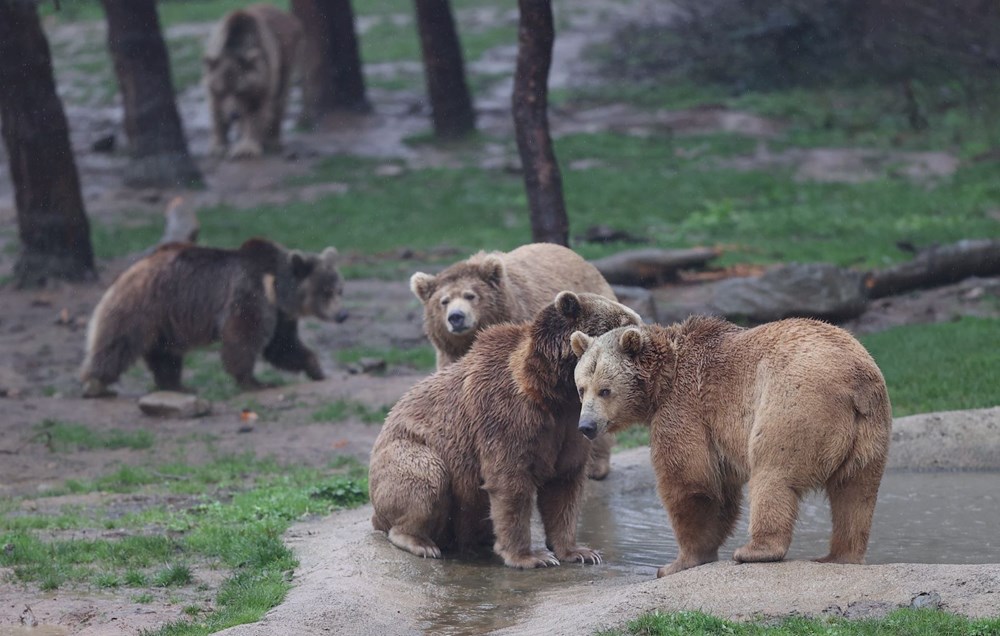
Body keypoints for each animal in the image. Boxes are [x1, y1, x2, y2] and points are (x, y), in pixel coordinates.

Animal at [201, 4, 298, 160]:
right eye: (222, 91)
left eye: (240, 91)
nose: (233, 115)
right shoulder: (213, 79)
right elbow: (216, 112)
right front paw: (218, 146)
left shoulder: (262, 81)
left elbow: (256, 113)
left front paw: (246, 149)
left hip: (287, 59)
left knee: (280, 99)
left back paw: (273, 141)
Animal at [368, 292, 640, 568]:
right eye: (622, 323)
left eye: (635, 322)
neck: (551, 391)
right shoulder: (505, 413)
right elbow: (510, 480)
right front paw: (531, 556)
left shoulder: (570, 425)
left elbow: (565, 482)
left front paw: (579, 552)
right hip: (407, 450)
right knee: (426, 475)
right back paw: (420, 542)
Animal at [572, 316, 892, 576]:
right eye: (581, 388)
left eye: (605, 390)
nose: (586, 426)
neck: (664, 378)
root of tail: (855, 380)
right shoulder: (713, 428)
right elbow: (720, 489)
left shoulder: (685, 407)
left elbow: (690, 480)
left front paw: (676, 563)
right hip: (871, 429)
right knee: (856, 492)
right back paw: (839, 555)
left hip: (793, 404)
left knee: (773, 474)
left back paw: (755, 550)